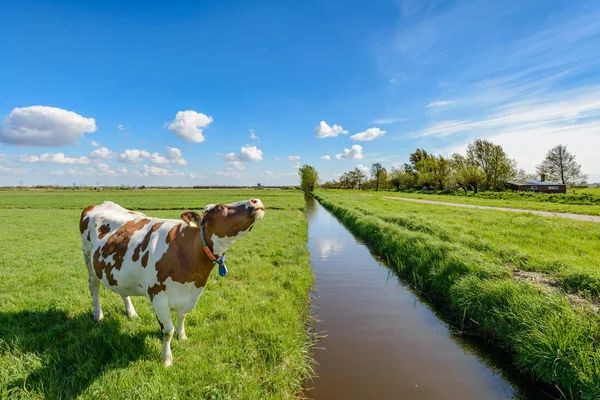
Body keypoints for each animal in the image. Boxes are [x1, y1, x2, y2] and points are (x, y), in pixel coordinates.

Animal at [79, 198, 264, 366]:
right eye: (220, 208)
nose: (255, 200)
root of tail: (98, 204)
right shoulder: (158, 297)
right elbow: (168, 331)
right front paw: (167, 359)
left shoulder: (188, 295)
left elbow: (182, 316)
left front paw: (182, 336)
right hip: (89, 261)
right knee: (94, 288)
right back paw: (98, 315)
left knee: (122, 291)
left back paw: (131, 313)